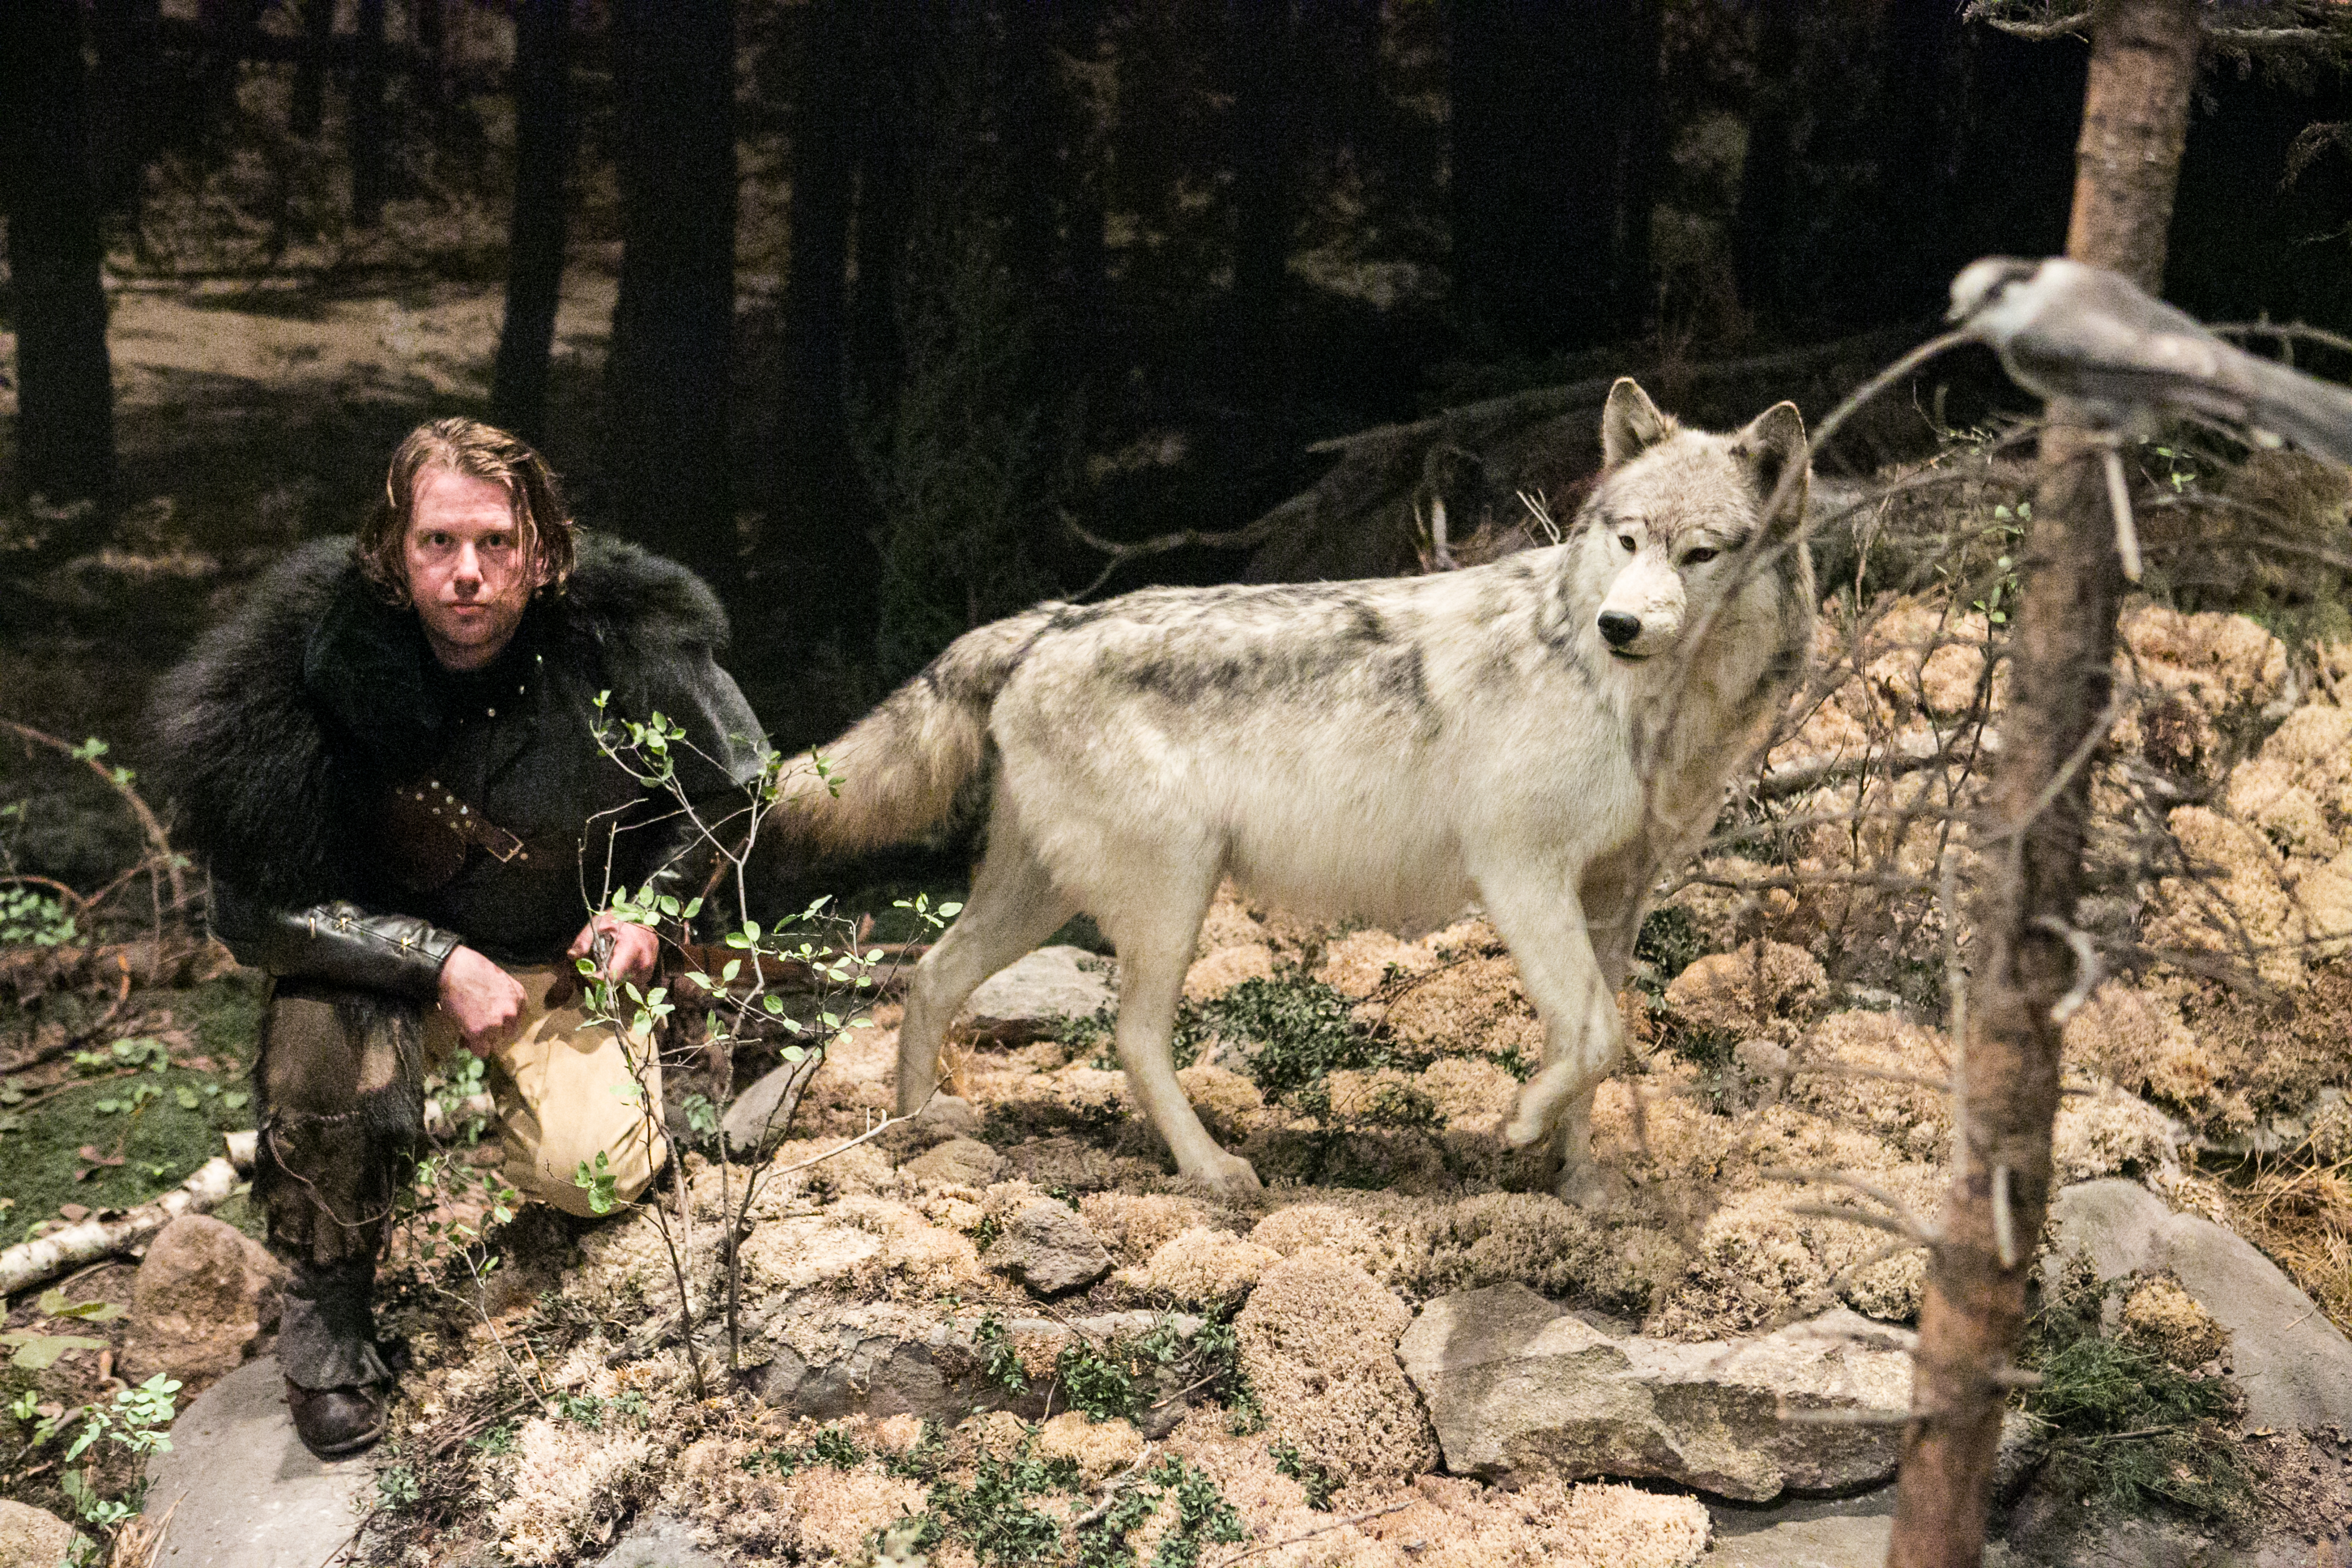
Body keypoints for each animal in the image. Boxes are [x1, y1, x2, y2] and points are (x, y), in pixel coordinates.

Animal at [771, 381, 1816, 1203]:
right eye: (1628, 540)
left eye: (1701, 554)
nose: (1619, 625)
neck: (1643, 709)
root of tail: (1052, 620)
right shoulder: (1520, 875)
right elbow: (1598, 1038)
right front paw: (1521, 1124)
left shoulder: (1619, 896)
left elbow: (1605, 1052)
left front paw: (1581, 1184)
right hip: (1172, 900)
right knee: (1130, 1037)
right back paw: (1210, 1170)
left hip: (1042, 901)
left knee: (930, 977)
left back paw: (911, 1138)